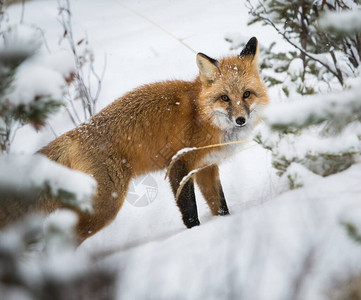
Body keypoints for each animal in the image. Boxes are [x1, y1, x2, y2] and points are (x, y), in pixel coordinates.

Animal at [34, 37, 268, 244]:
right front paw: (194, 235)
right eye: (224, 98)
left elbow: (220, 206)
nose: (240, 120)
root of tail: (76, 132)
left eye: (247, 94)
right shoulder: (179, 164)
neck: (202, 115)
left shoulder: (206, 167)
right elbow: (190, 211)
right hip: (106, 207)